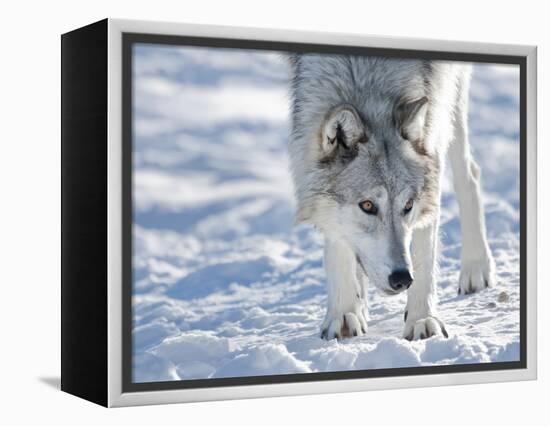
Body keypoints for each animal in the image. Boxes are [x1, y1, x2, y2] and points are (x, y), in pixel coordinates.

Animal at [288, 54, 496, 340]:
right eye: (367, 205)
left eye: (408, 205)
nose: (402, 279)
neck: (367, 76)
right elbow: (337, 242)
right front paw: (344, 314)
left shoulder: (435, 114)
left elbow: (424, 249)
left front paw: (422, 320)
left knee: (470, 174)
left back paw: (476, 267)